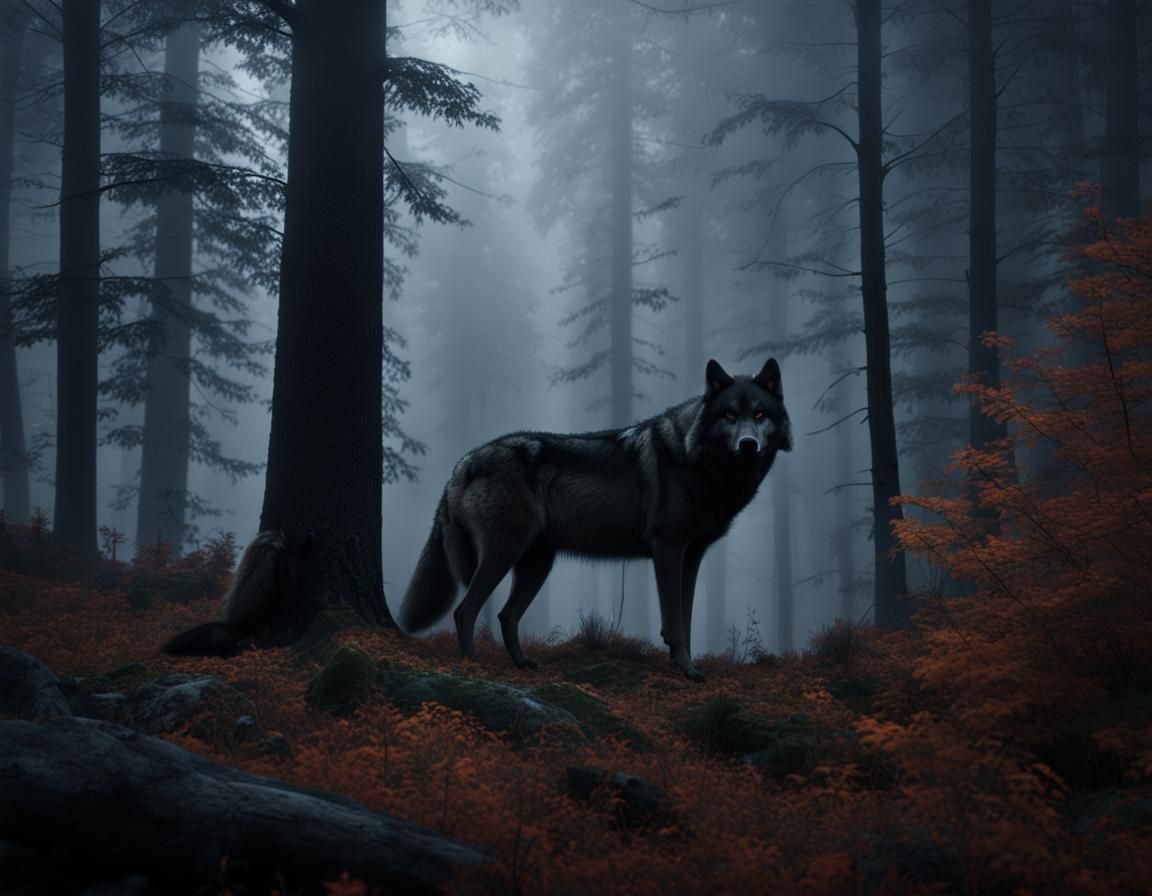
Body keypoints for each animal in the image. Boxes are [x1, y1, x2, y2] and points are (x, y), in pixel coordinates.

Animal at [399, 358, 792, 681]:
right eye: (730, 415)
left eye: (760, 415)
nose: (747, 444)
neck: (700, 462)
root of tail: (463, 463)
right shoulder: (667, 549)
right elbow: (675, 623)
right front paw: (687, 671)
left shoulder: (691, 558)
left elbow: (687, 618)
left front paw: (686, 666)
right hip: (502, 555)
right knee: (464, 611)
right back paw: (473, 663)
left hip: (537, 565)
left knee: (506, 616)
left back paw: (522, 663)